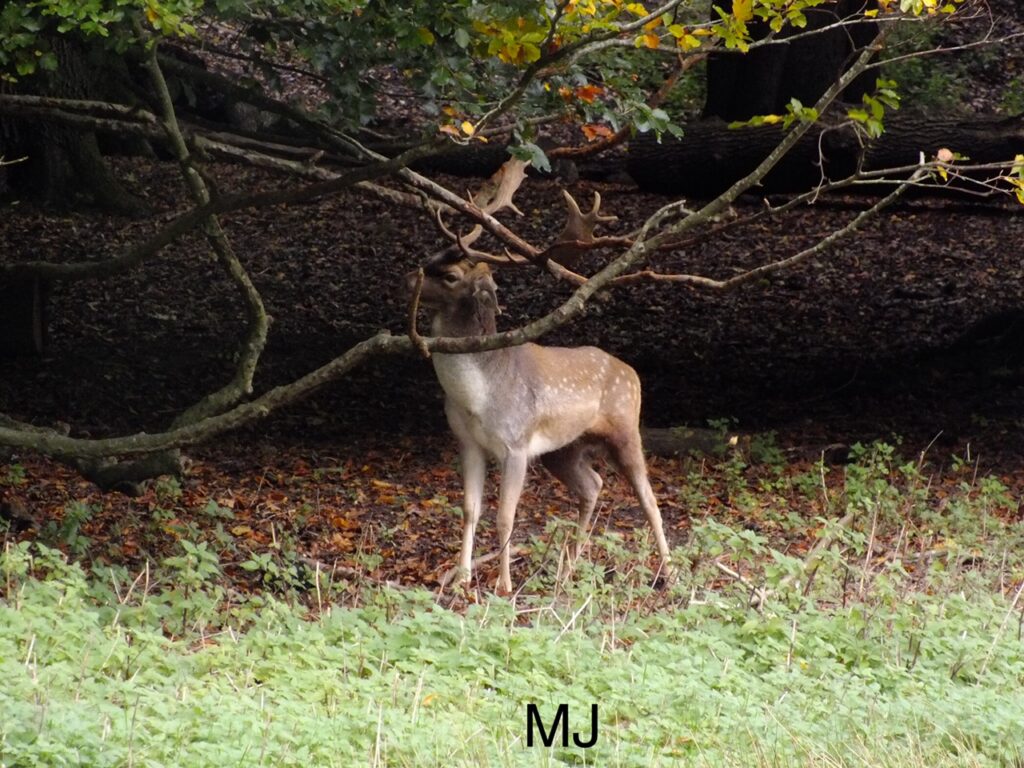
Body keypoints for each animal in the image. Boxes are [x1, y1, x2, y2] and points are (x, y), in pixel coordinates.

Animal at [407, 161, 672, 594]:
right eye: (428, 260)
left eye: (450, 276)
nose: (406, 280)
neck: (477, 396)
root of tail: (632, 372)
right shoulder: (467, 442)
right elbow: (469, 509)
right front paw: (462, 578)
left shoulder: (515, 444)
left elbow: (505, 516)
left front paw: (503, 585)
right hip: (563, 450)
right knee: (593, 485)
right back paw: (568, 569)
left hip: (625, 426)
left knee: (649, 498)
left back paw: (670, 571)